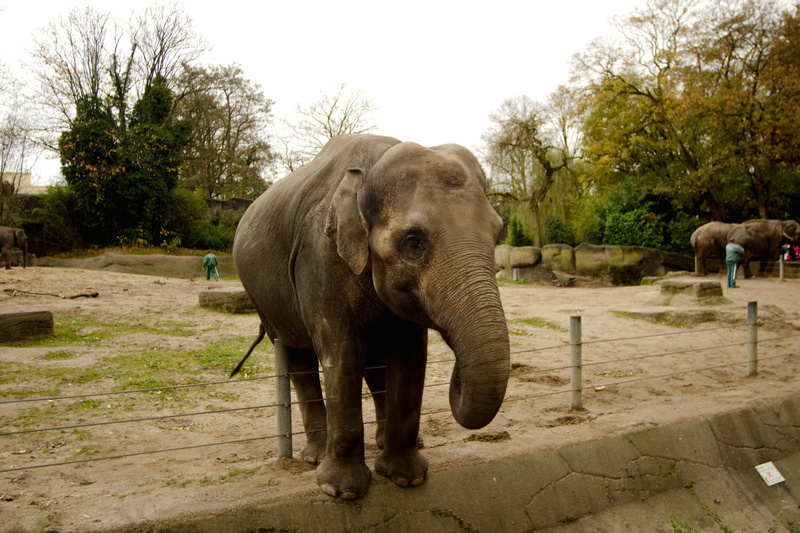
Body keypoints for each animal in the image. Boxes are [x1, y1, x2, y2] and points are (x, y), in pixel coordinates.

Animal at [232, 134, 510, 500]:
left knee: (375, 366)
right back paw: (315, 458)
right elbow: (342, 354)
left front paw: (407, 479)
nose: (458, 375)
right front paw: (341, 491)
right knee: (300, 360)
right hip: (263, 299)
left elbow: (409, 356)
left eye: (498, 235)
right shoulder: (319, 257)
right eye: (414, 243)